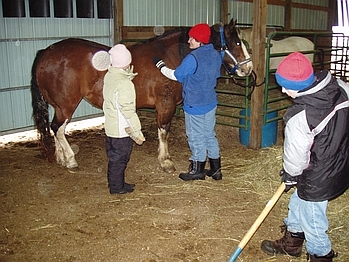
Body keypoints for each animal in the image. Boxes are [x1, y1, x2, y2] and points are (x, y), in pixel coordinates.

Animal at [31, 18, 251, 174]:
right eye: (236, 42)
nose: (248, 69)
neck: (171, 56)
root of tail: (46, 52)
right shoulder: (165, 105)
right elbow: (164, 131)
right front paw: (166, 161)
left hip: (58, 105)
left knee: (55, 129)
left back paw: (60, 157)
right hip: (66, 105)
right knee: (58, 128)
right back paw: (70, 160)